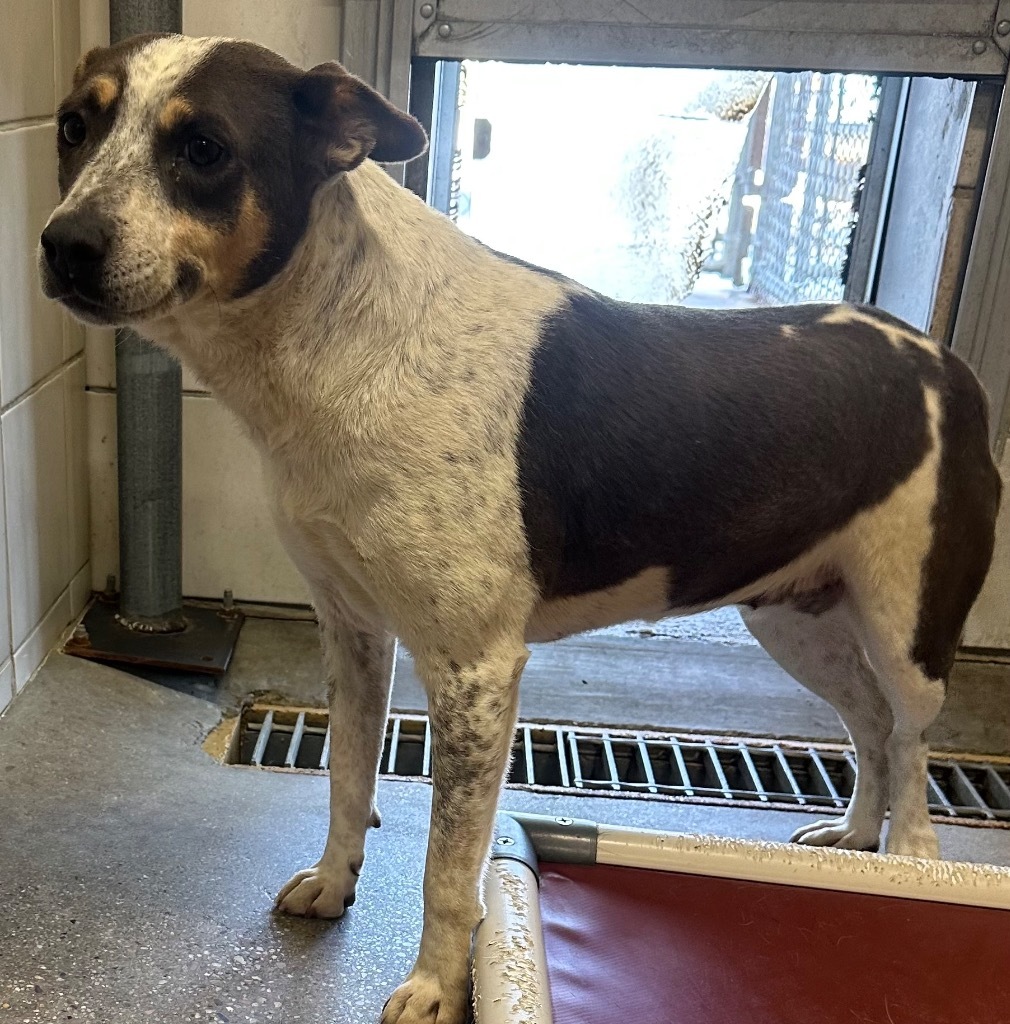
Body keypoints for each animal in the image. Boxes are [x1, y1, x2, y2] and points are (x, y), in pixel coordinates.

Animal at [39, 32, 999, 1024]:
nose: (63, 245)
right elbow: (347, 778)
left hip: (907, 630)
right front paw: (335, 884)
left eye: (204, 150)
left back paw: (912, 866)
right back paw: (855, 841)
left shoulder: (475, 672)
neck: (341, 334)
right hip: (793, 620)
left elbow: (447, 865)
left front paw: (435, 985)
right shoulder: (351, 630)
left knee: (912, 749)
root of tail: (944, 364)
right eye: (73, 126)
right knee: (869, 726)